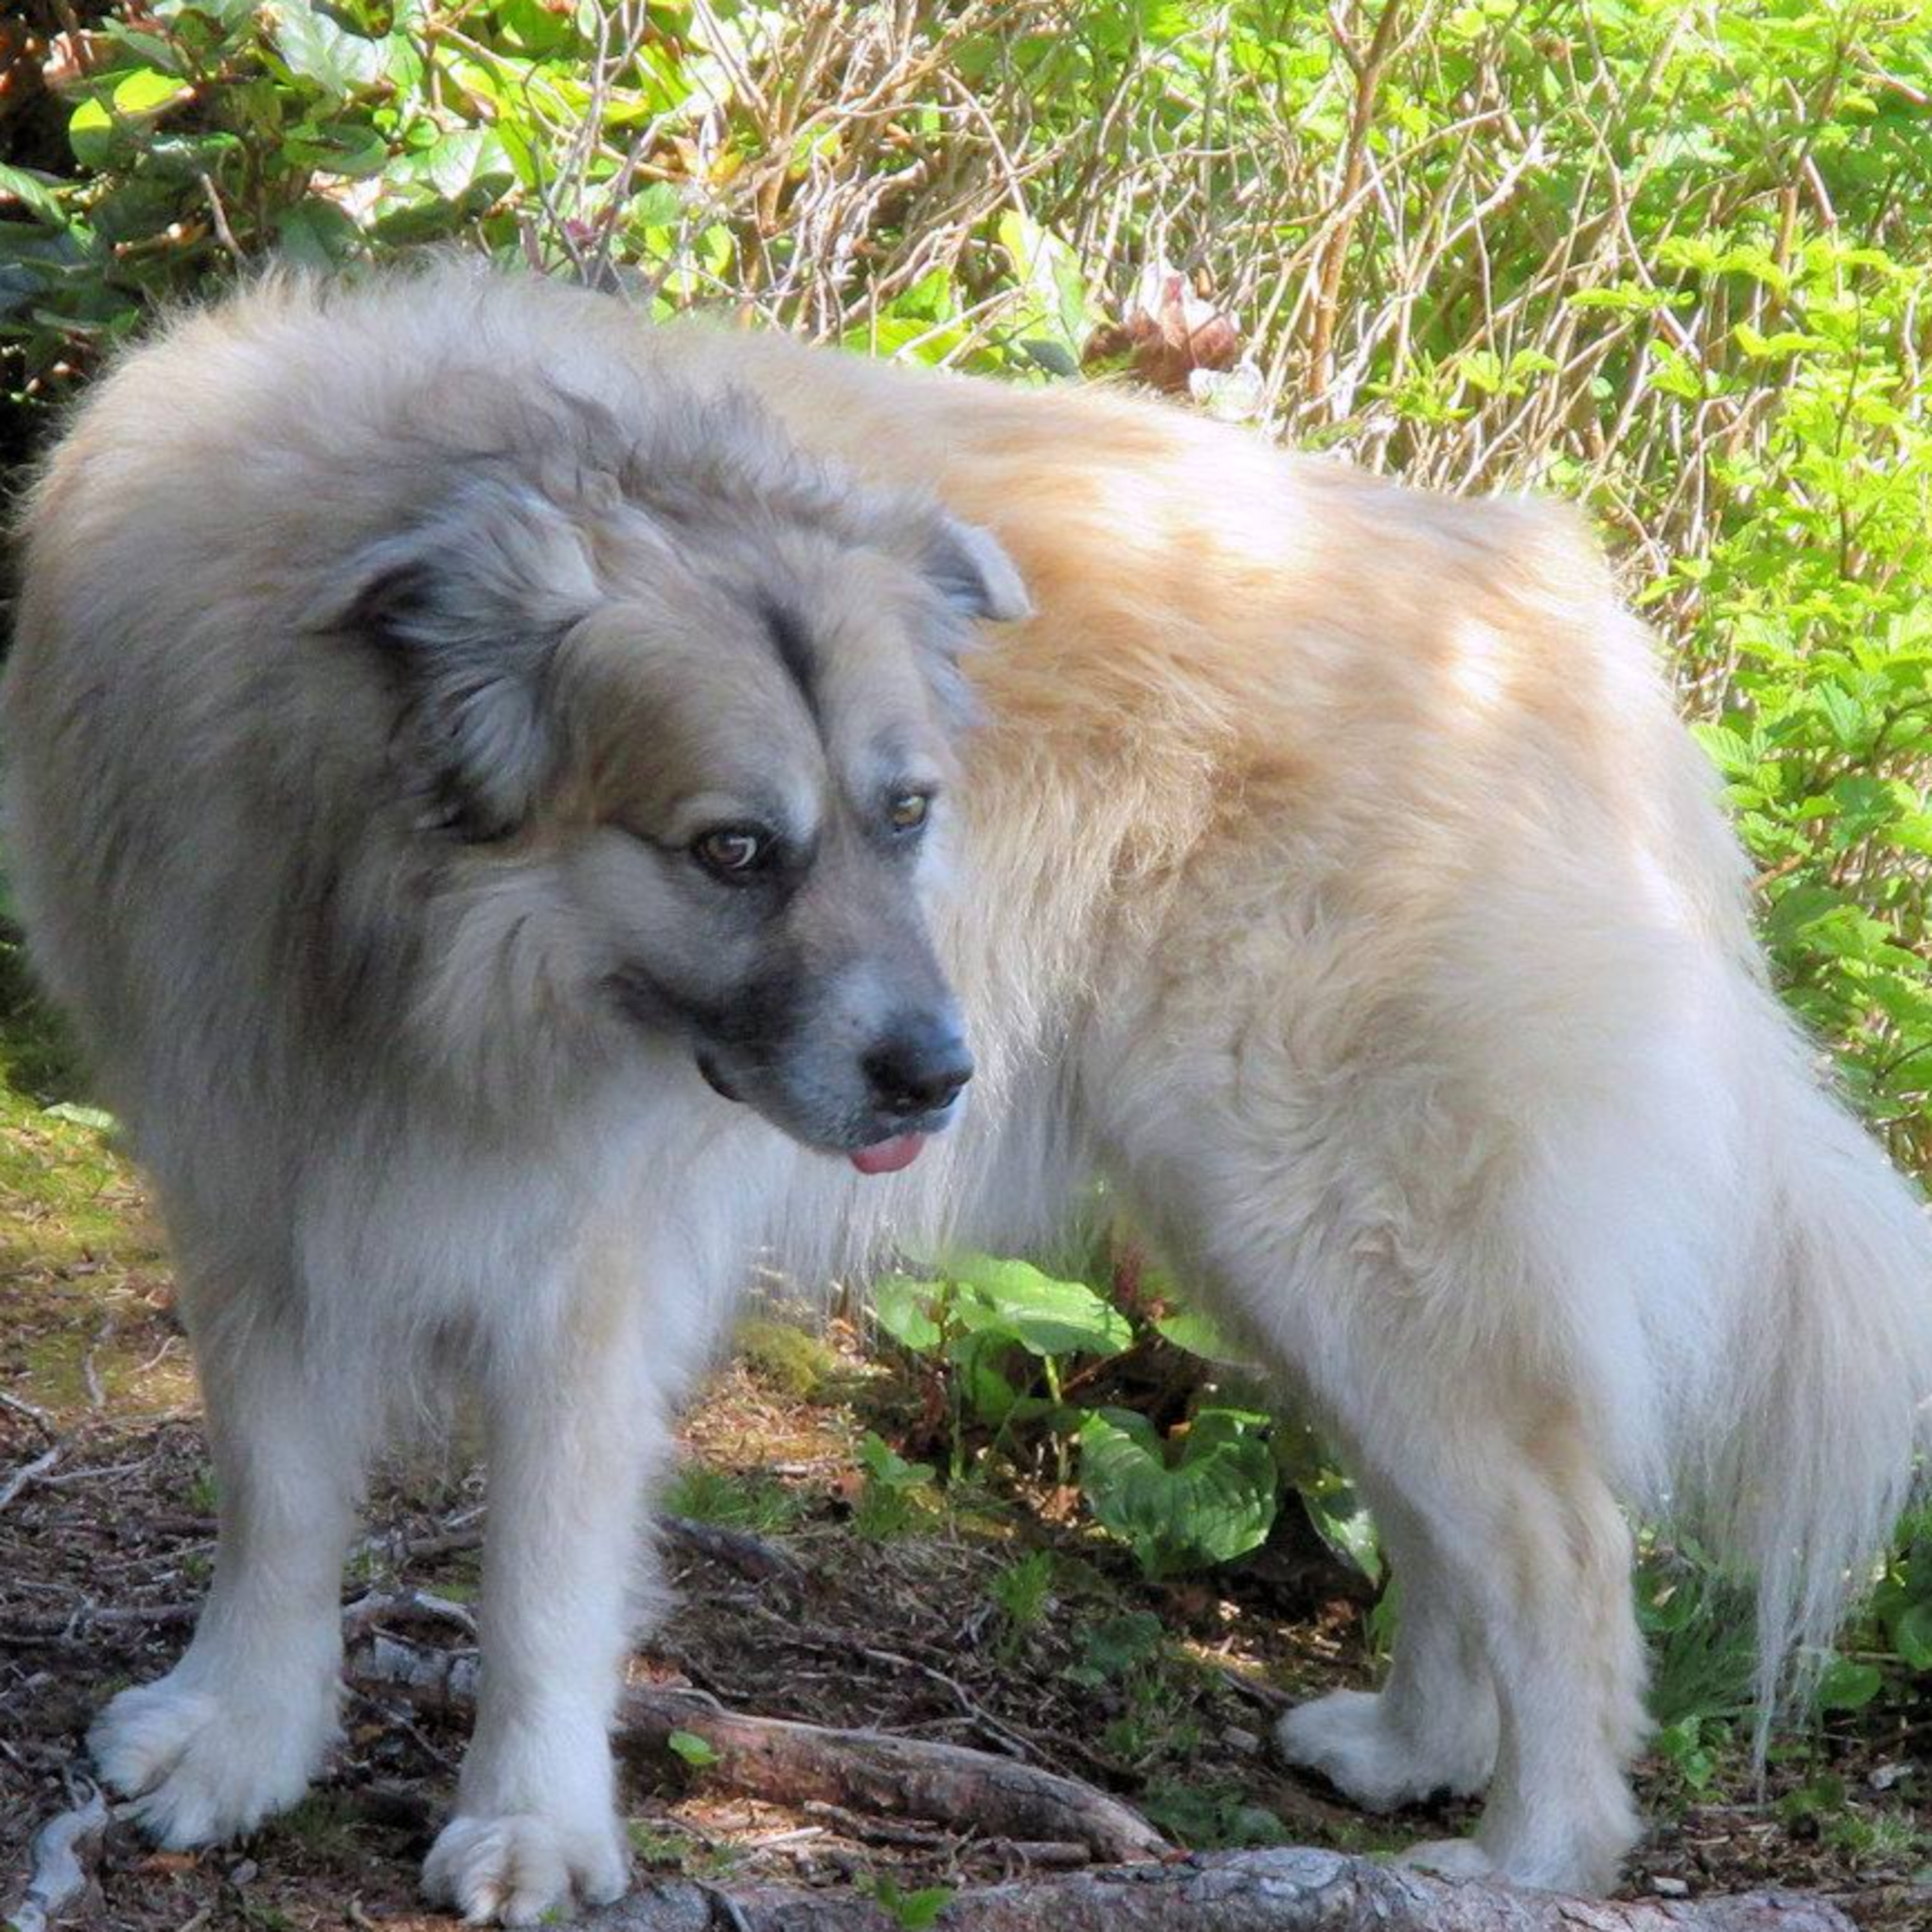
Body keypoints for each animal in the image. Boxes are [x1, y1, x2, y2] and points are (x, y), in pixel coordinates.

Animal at [6, 258, 1930, 1923]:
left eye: (910, 812)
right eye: (734, 850)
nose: (940, 1074)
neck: (380, 907)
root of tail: (1567, 623)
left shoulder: (586, 1268)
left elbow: (541, 1573)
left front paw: (532, 1826)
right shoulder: (253, 1195)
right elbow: (276, 1504)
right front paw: (245, 1745)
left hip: (1350, 1220)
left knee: (1558, 1546)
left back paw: (1533, 1857)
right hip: (1281, 1246)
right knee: (1451, 1517)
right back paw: (1412, 1749)